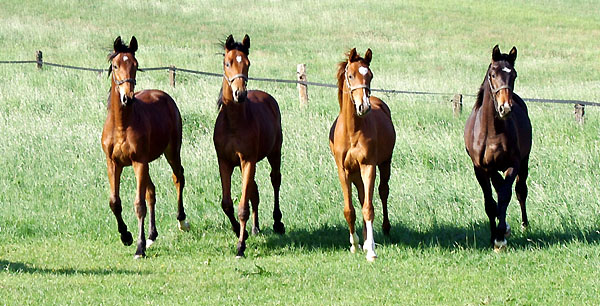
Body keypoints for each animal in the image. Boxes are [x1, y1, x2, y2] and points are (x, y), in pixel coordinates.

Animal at [101, 36, 190, 258]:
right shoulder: (113, 163)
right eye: (115, 65)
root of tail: (163, 95)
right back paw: (151, 235)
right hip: (147, 163)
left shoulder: (138, 162)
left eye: (135, 65)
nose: (127, 97)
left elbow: (139, 205)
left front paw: (139, 247)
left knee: (178, 177)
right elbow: (115, 202)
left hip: (171, 151)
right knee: (152, 191)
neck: (122, 125)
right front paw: (126, 236)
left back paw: (182, 221)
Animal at [212, 34, 284, 258]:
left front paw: (240, 246)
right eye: (227, 63)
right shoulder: (225, 162)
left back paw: (278, 223)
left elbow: (242, 206)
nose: (240, 94)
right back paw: (255, 227)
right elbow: (227, 204)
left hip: (274, 153)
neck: (234, 123)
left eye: (247, 63)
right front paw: (237, 230)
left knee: (275, 180)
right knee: (255, 190)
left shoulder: (247, 160)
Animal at [328, 49, 394, 262]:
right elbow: (350, 209)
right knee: (362, 195)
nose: (363, 107)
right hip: (356, 174)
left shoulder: (368, 166)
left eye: (370, 75)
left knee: (382, 192)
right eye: (350, 76)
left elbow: (368, 208)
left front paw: (371, 251)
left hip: (385, 163)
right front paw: (355, 244)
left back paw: (382, 231)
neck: (352, 131)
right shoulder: (343, 170)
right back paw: (363, 241)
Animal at [462, 45, 532, 251]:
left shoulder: (513, 164)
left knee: (520, 191)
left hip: (524, 162)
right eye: (493, 74)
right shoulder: (481, 168)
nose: (505, 108)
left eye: (514, 75)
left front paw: (500, 237)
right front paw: (494, 235)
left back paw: (524, 226)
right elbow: (490, 203)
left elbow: (505, 195)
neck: (492, 132)